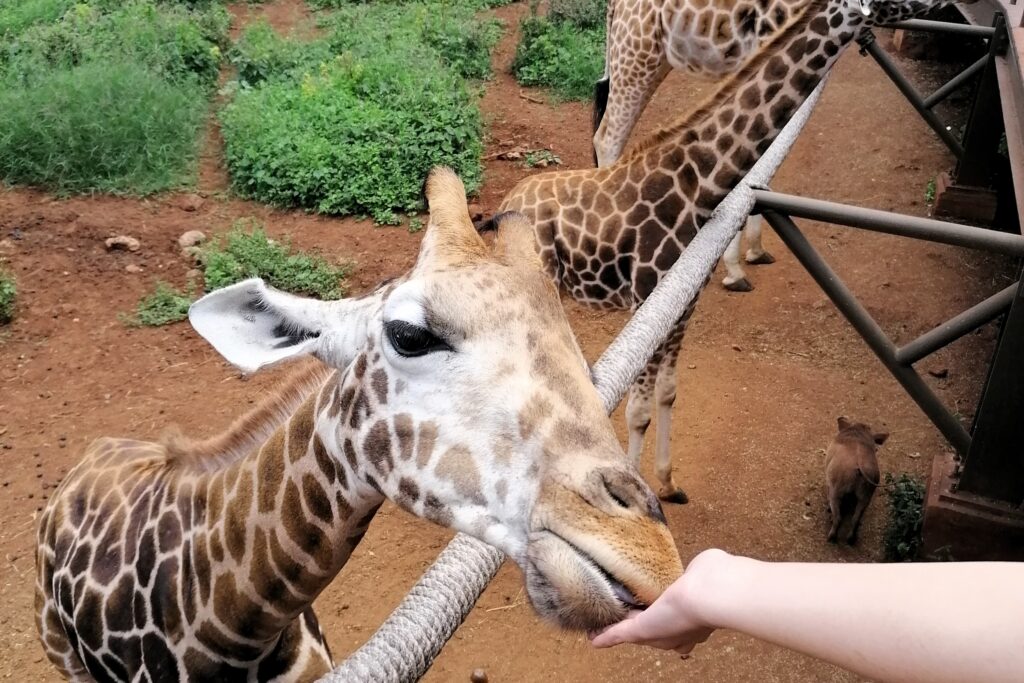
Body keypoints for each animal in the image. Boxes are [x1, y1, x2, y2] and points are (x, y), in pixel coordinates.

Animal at [493, 0, 947, 503]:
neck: (699, 183)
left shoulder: (682, 304)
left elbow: (668, 393)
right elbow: (637, 411)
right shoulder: (646, 297)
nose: (946, 10)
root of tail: (504, 203)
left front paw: (669, 482)